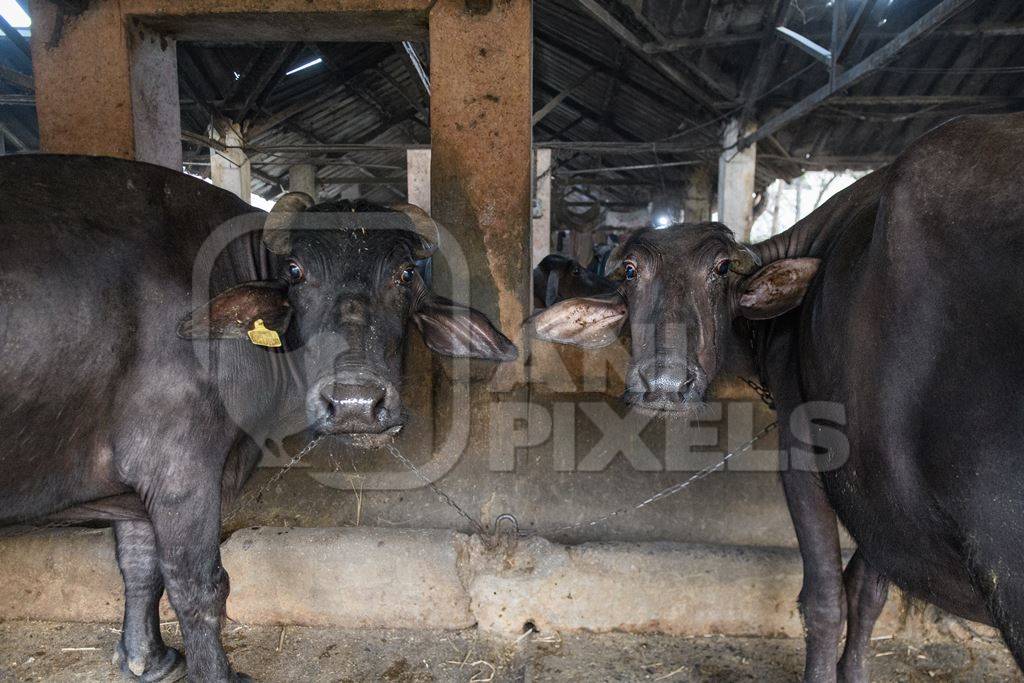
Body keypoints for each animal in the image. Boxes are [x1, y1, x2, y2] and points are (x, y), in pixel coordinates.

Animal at [0, 156, 512, 683]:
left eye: (406, 273)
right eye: (296, 271)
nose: (354, 404)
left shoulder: (136, 488)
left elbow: (139, 563)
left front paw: (149, 659)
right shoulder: (180, 473)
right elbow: (198, 584)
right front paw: (216, 673)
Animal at [532, 114, 1024, 679]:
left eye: (722, 269)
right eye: (631, 271)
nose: (665, 384)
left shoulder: (807, 453)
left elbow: (826, 597)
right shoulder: (881, 501)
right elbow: (867, 591)